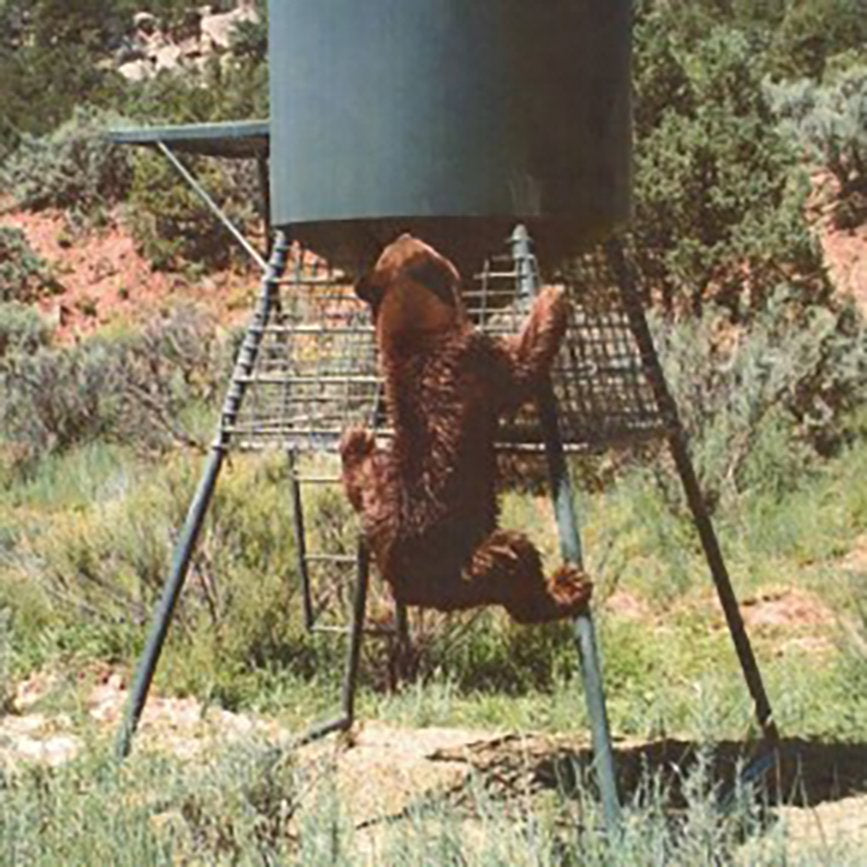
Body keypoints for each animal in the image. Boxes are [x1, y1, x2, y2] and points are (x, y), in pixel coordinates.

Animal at [340, 234, 592, 624]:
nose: (404, 233)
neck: (414, 331)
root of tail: (401, 583)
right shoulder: (478, 359)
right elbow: (521, 365)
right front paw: (550, 297)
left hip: (378, 492)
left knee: (361, 479)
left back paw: (356, 441)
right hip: (469, 565)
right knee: (518, 575)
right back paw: (568, 587)